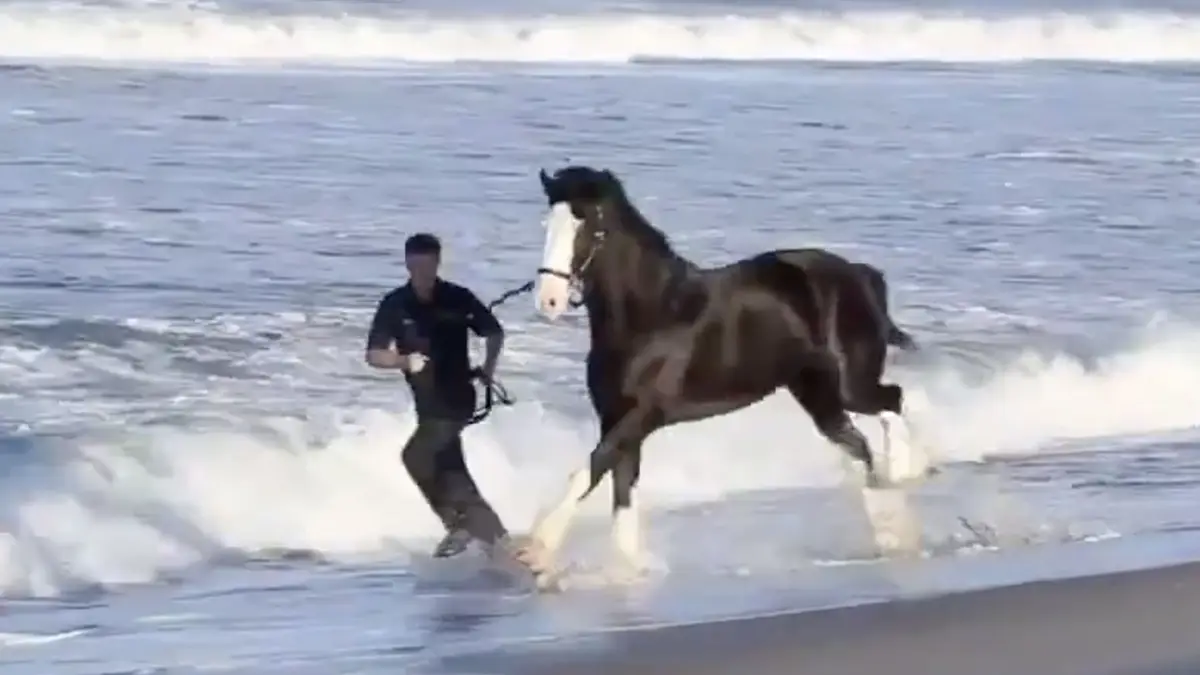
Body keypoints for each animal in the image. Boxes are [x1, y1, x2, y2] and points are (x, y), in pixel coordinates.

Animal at [515, 165, 933, 586]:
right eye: (549, 222)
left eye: (587, 227)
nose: (548, 300)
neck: (652, 315)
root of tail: (862, 275)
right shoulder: (615, 418)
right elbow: (621, 488)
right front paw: (628, 569)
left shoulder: (641, 416)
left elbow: (590, 469)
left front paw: (537, 550)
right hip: (816, 393)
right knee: (862, 443)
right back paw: (892, 521)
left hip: (848, 384)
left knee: (892, 400)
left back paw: (905, 477)